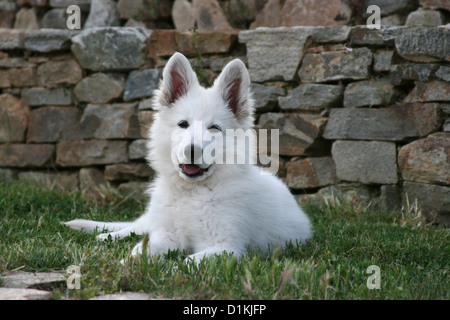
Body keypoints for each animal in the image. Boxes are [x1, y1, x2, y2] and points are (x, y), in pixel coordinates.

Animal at [66, 52, 312, 262]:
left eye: (214, 128)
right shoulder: (166, 235)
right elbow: (140, 251)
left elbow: (187, 263)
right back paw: (105, 235)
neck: (192, 193)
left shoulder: (225, 247)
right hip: (153, 218)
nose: (191, 151)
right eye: (183, 124)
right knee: (136, 227)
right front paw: (128, 267)